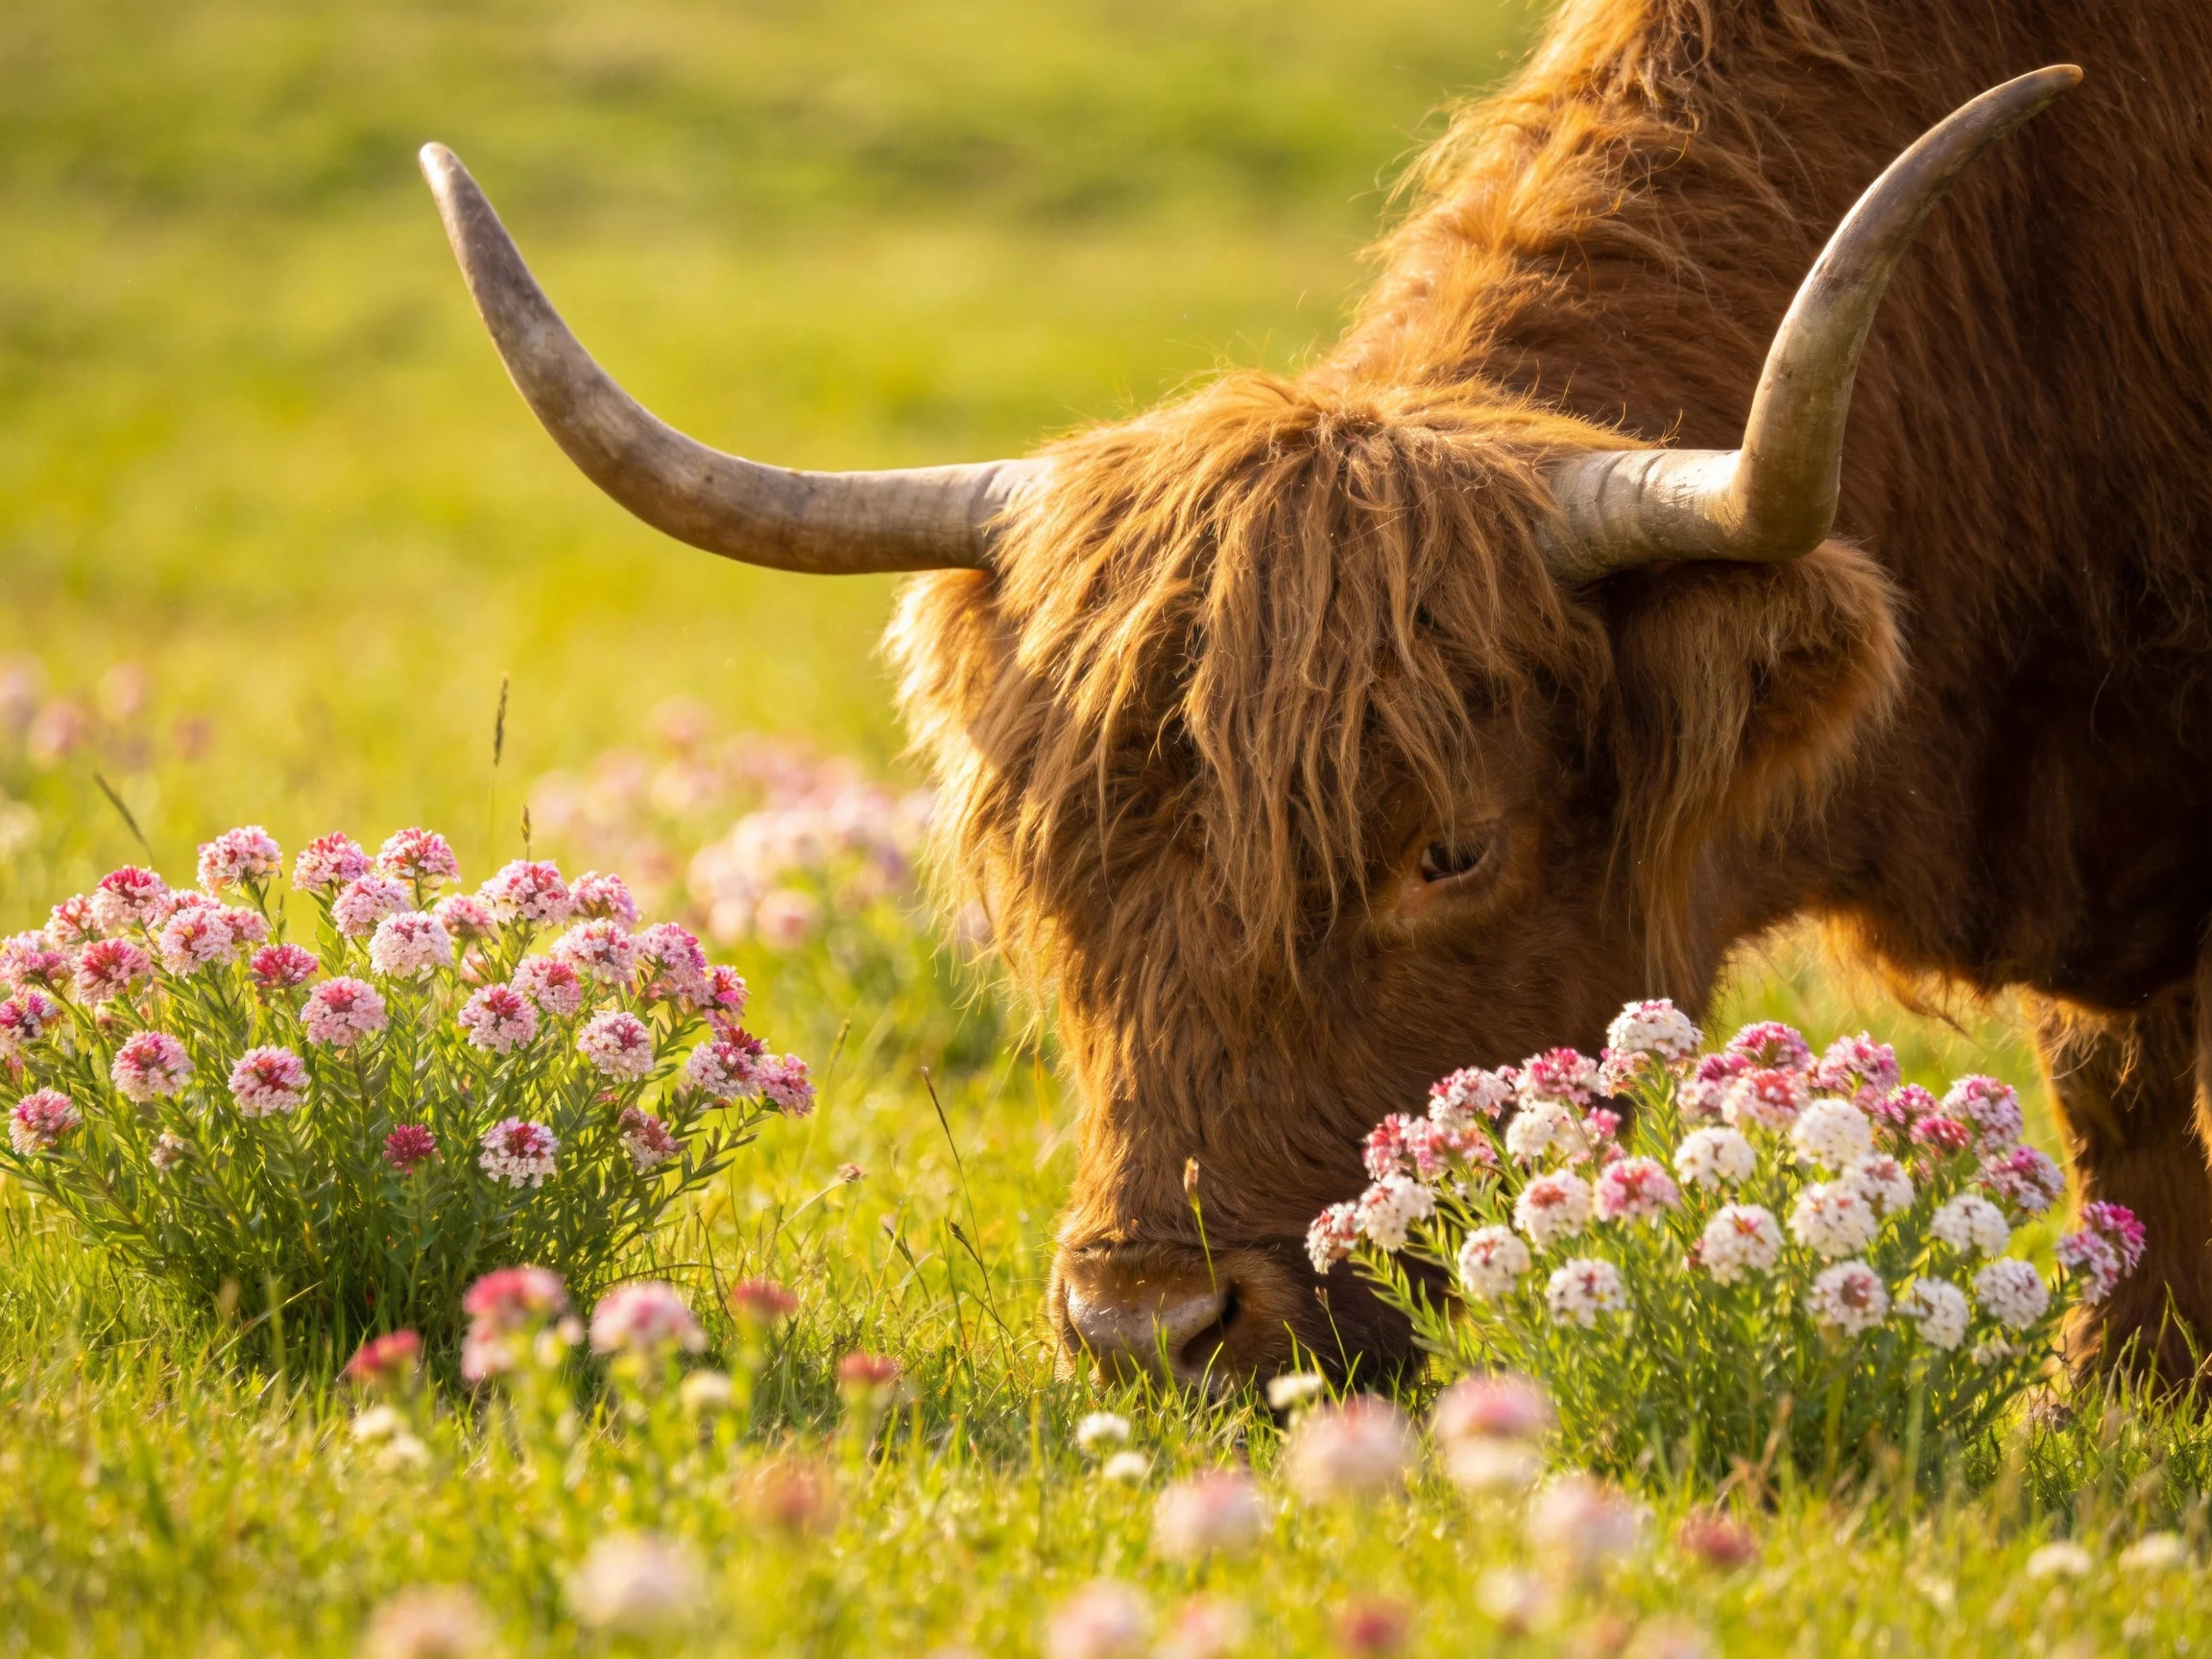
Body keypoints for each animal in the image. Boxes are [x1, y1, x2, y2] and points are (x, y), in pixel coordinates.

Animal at [420, 0, 2212, 1385]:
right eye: (1049, 858)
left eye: (1449, 849)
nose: (1148, 1327)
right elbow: (2111, 1088)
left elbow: (2118, 1081)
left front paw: (2116, 1391)